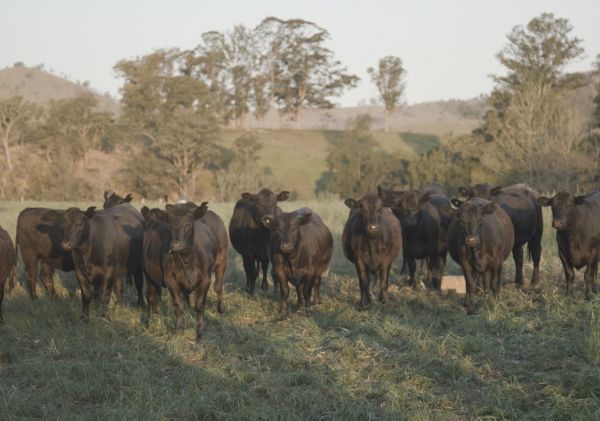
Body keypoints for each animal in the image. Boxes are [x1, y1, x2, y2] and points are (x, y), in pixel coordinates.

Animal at [142, 202, 229, 340]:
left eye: (188, 224)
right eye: (170, 226)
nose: (176, 245)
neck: (187, 259)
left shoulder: (205, 279)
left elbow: (199, 305)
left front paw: (201, 329)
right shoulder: (170, 279)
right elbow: (179, 305)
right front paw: (178, 329)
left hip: (222, 262)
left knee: (218, 286)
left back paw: (220, 308)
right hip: (148, 274)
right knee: (151, 297)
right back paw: (149, 322)